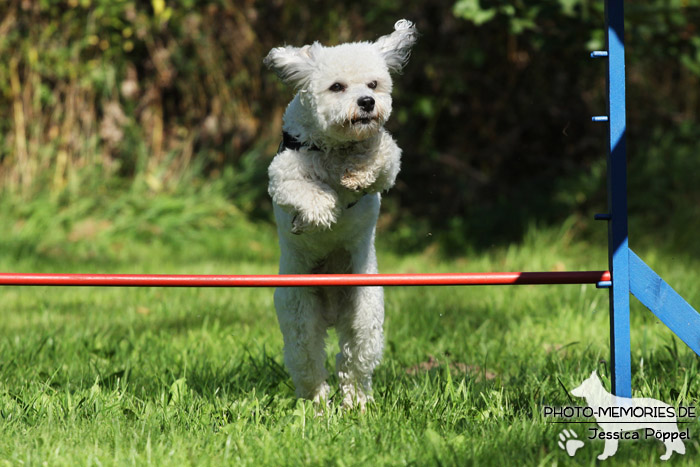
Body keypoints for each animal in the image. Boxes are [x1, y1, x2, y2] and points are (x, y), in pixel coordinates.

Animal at [262, 20, 416, 408]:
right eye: (337, 86)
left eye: (373, 84)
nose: (367, 102)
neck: (336, 147)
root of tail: (331, 310)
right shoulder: (284, 171)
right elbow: (308, 191)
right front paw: (319, 213)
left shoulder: (387, 158)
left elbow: (380, 155)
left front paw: (357, 174)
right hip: (300, 314)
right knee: (308, 363)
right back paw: (317, 405)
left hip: (364, 316)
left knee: (354, 363)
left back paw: (356, 404)